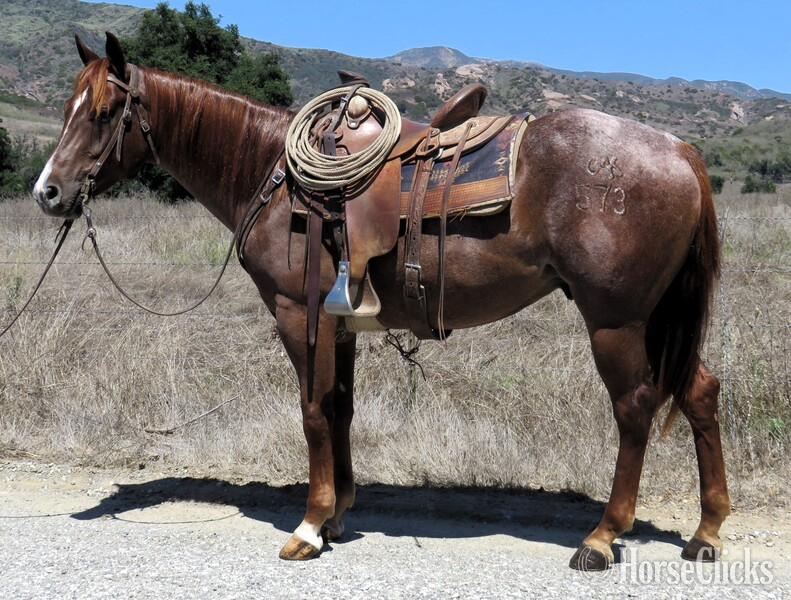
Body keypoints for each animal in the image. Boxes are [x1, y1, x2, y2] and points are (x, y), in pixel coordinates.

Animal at [33, 32, 729, 570]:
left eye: (102, 112)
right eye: (67, 107)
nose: (48, 192)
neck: (273, 174)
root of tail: (680, 151)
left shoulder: (298, 314)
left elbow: (314, 412)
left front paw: (308, 527)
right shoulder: (340, 325)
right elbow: (340, 409)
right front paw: (338, 515)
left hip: (616, 319)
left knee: (635, 407)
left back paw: (602, 537)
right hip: (658, 317)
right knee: (699, 392)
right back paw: (707, 530)